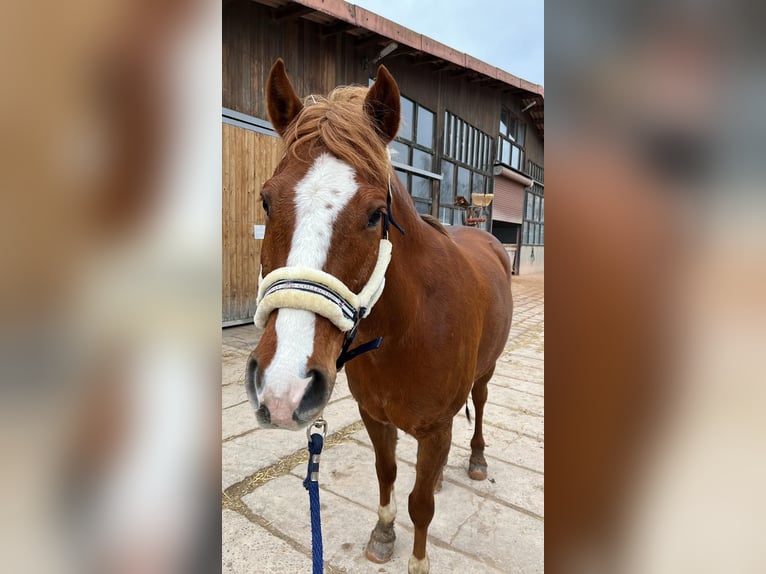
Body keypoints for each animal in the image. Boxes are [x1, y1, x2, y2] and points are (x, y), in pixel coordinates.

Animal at [245, 58, 513, 574]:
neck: (405, 331)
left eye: (374, 215)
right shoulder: (375, 417)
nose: (284, 388)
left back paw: (475, 460)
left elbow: (421, 505)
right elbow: (387, 474)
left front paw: (418, 562)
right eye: (267, 201)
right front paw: (384, 533)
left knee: (481, 404)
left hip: (486, 373)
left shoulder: (436, 429)